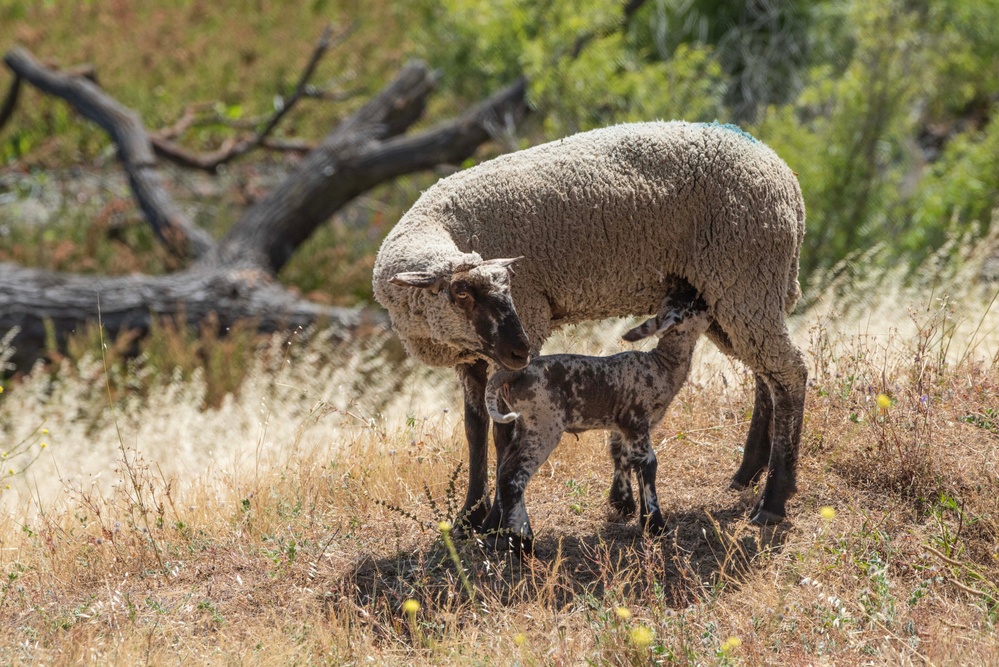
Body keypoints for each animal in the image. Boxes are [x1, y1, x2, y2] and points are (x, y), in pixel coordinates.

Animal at [484, 288, 712, 552]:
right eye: (692, 306)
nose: (705, 302)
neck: (661, 366)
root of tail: (512, 373)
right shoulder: (637, 420)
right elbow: (648, 465)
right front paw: (655, 525)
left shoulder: (621, 424)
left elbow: (621, 456)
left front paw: (624, 505)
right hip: (542, 423)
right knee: (514, 477)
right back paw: (523, 542)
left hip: (525, 425)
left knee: (503, 470)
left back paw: (500, 535)